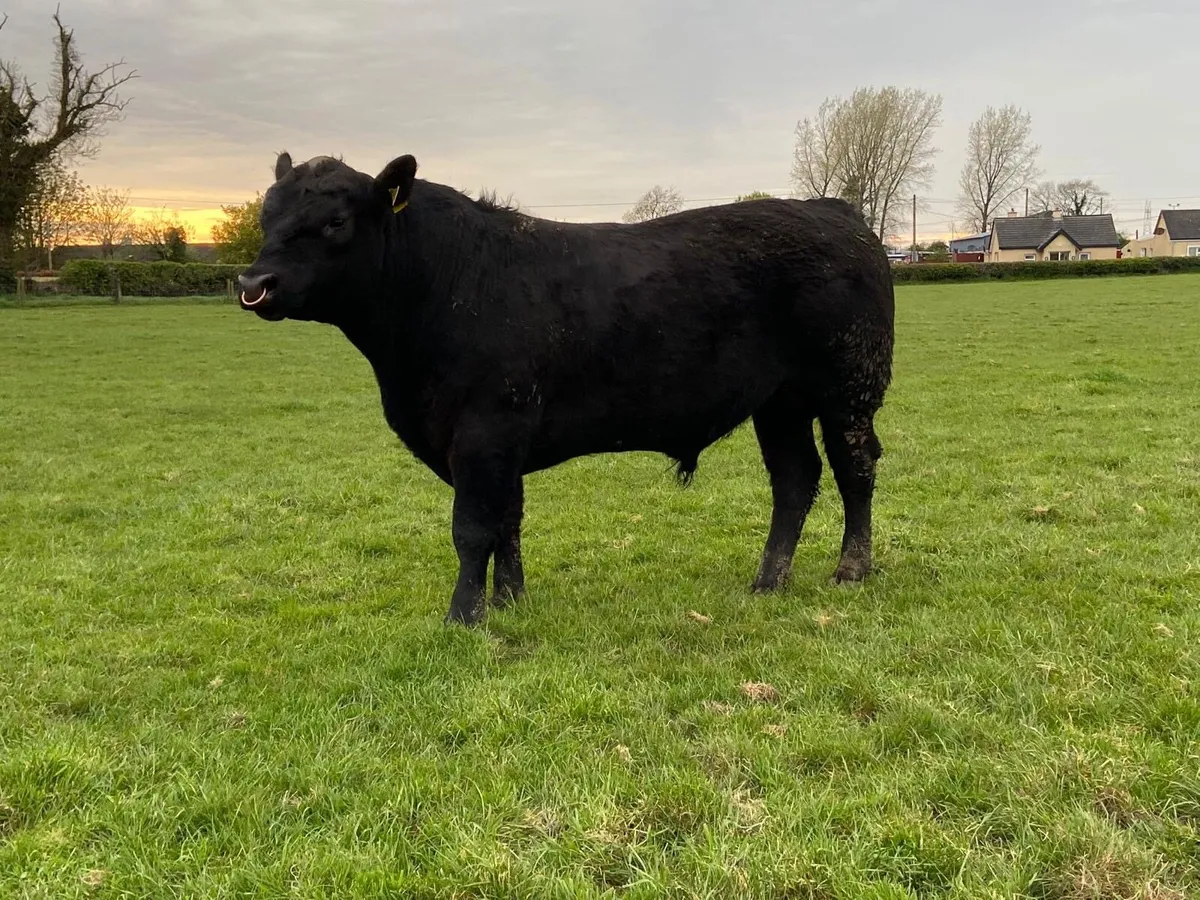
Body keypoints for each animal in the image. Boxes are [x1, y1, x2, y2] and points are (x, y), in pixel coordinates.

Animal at [237, 152, 895, 626]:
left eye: (336, 221)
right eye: (267, 216)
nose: (253, 283)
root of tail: (834, 211)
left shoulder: (486, 430)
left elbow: (472, 527)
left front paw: (463, 617)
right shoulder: (499, 439)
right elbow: (507, 520)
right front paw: (509, 602)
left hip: (849, 386)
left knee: (854, 467)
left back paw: (851, 569)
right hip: (779, 401)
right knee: (795, 479)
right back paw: (767, 582)